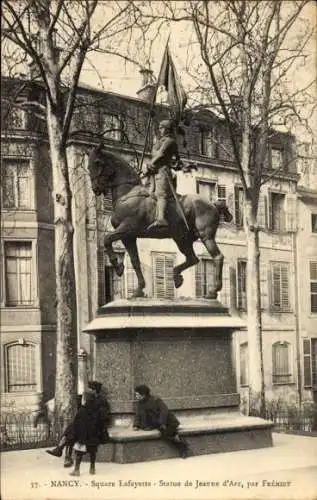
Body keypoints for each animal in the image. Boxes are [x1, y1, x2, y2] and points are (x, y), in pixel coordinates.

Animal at [86, 145, 232, 300]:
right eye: (88, 166)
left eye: (97, 162)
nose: (95, 188)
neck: (127, 194)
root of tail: (212, 204)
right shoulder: (128, 237)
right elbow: (135, 261)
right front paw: (138, 290)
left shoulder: (127, 228)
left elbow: (106, 239)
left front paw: (117, 266)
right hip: (181, 239)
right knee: (192, 259)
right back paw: (176, 276)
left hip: (205, 236)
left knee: (217, 257)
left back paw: (212, 291)